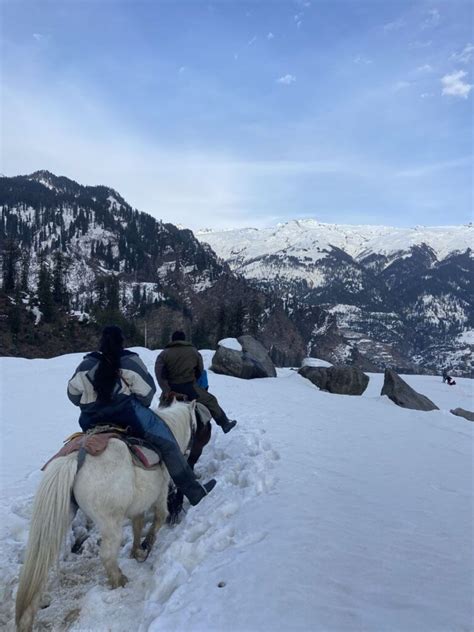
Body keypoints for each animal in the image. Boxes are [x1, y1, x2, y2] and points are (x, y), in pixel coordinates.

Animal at [14, 400, 196, 632]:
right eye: (195, 426)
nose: (190, 452)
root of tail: (76, 457)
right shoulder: (161, 492)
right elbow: (159, 518)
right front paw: (146, 546)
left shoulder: (137, 506)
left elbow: (137, 525)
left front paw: (136, 550)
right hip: (110, 524)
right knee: (107, 555)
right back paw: (119, 580)